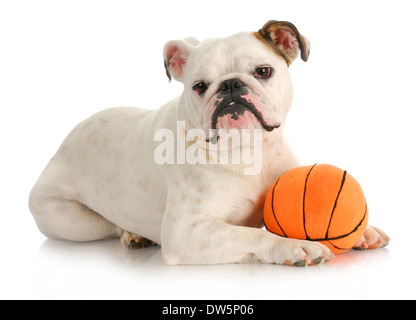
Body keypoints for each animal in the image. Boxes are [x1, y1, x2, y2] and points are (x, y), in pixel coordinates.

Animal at [29, 20, 390, 264]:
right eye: (199, 86)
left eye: (263, 71)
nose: (230, 86)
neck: (248, 150)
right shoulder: (187, 232)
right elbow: (250, 234)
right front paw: (290, 245)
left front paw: (365, 231)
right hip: (70, 219)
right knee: (109, 225)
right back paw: (132, 233)